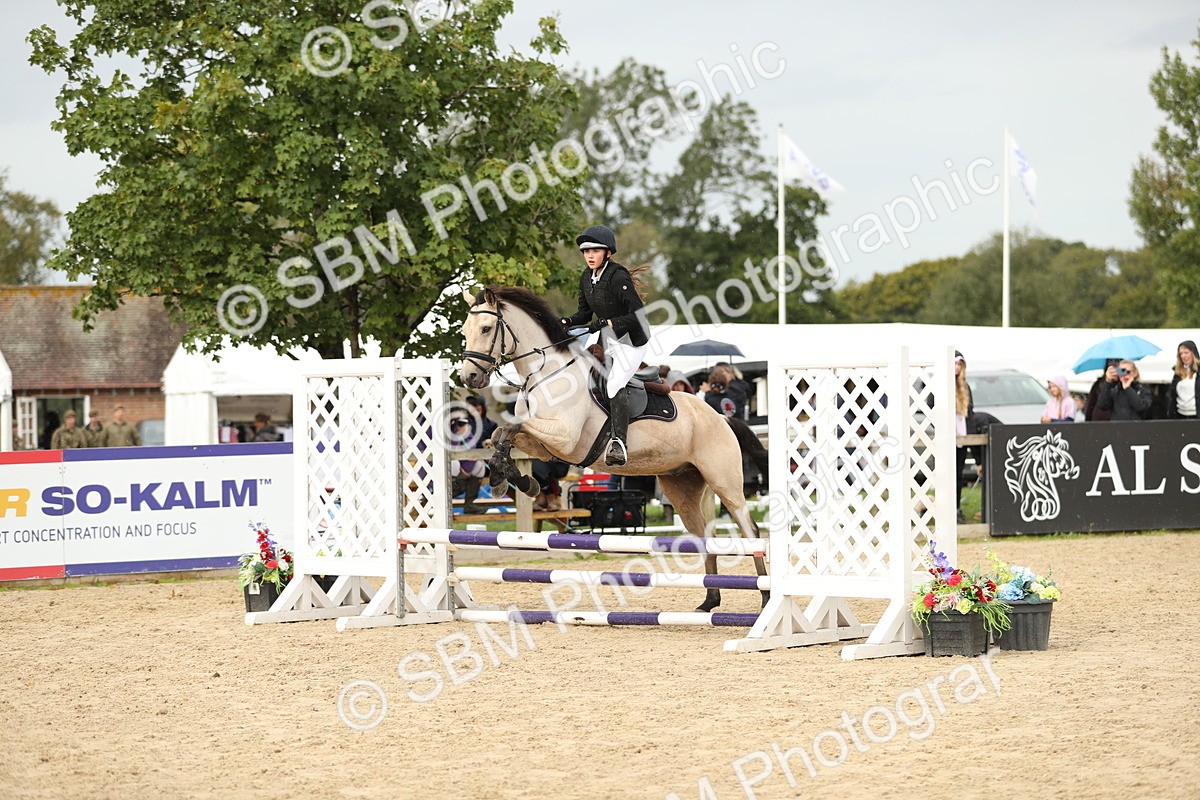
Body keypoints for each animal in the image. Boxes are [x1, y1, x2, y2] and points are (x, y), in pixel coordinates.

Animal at [459, 286, 768, 612]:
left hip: (724, 481)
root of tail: (720, 416)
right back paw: (709, 601)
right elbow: (503, 434)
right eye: (465, 330)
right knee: (705, 535)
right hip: (682, 487)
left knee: (750, 530)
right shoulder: (544, 445)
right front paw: (512, 480)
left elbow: (509, 428)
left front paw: (507, 481)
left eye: (486, 328)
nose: (469, 377)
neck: (548, 374)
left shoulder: (564, 437)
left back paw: (764, 598)